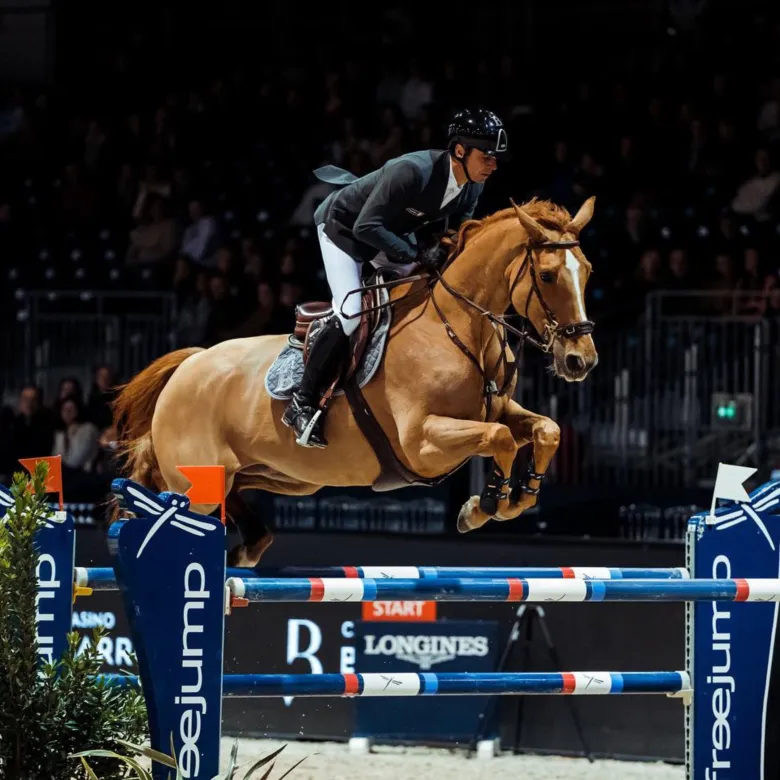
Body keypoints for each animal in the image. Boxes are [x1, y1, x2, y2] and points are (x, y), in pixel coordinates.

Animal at [111, 198, 596, 568]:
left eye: (588, 270)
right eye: (548, 275)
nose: (581, 360)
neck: (455, 326)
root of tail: (189, 365)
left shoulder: (498, 410)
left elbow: (545, 430)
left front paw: (514, 498)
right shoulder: (422, 442)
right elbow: (500, 438)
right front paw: (486, 504)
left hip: (274, 476)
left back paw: (248, 547)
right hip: (194, 481)